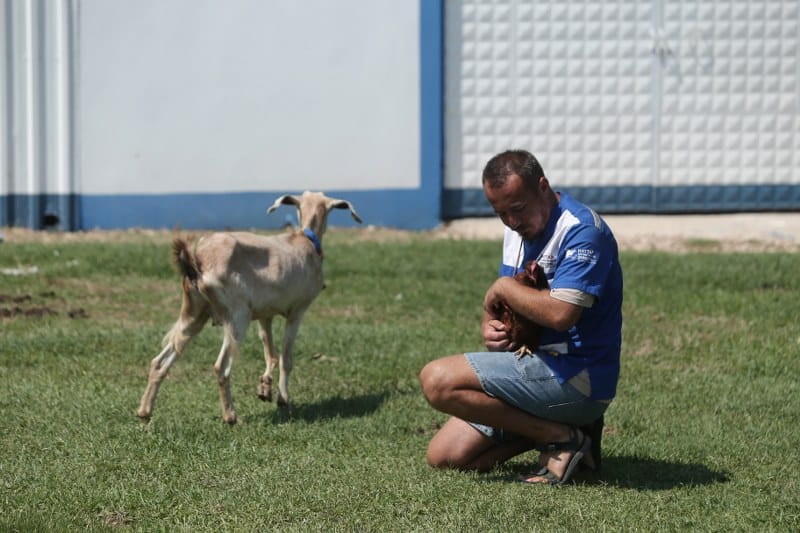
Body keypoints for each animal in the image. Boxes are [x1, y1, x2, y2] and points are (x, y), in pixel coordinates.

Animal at [138, 192, 362, 424]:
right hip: (238, 316)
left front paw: (265, 388)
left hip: (194, 313)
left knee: (159, 361)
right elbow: (286, 358)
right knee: (221, 367)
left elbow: (270, 351)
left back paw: (144, 412)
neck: (305, 240)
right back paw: (231, 417)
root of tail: (197, 261)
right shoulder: (297, 310)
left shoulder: (264, 314)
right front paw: (283, 400)